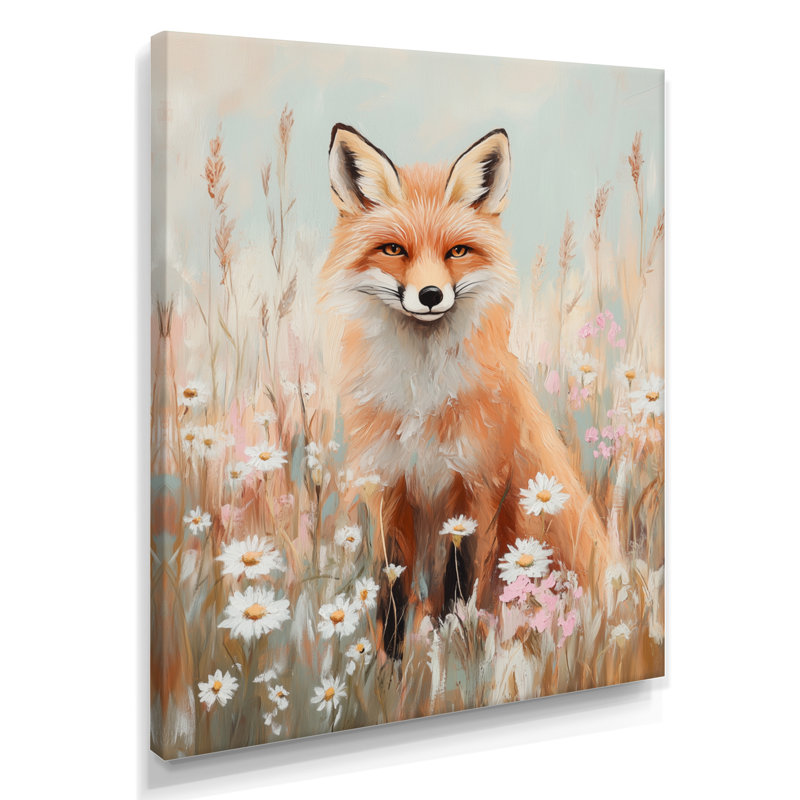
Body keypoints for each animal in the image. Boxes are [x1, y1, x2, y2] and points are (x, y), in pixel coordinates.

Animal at [319, 123, 611, 657]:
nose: (431, 295)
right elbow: (392, 588)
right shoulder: (388, 486)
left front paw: (453, 651)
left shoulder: (477, 486)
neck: (422, 395)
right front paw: (389, 664)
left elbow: (460, 585)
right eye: (394, 250)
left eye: (457, 251)